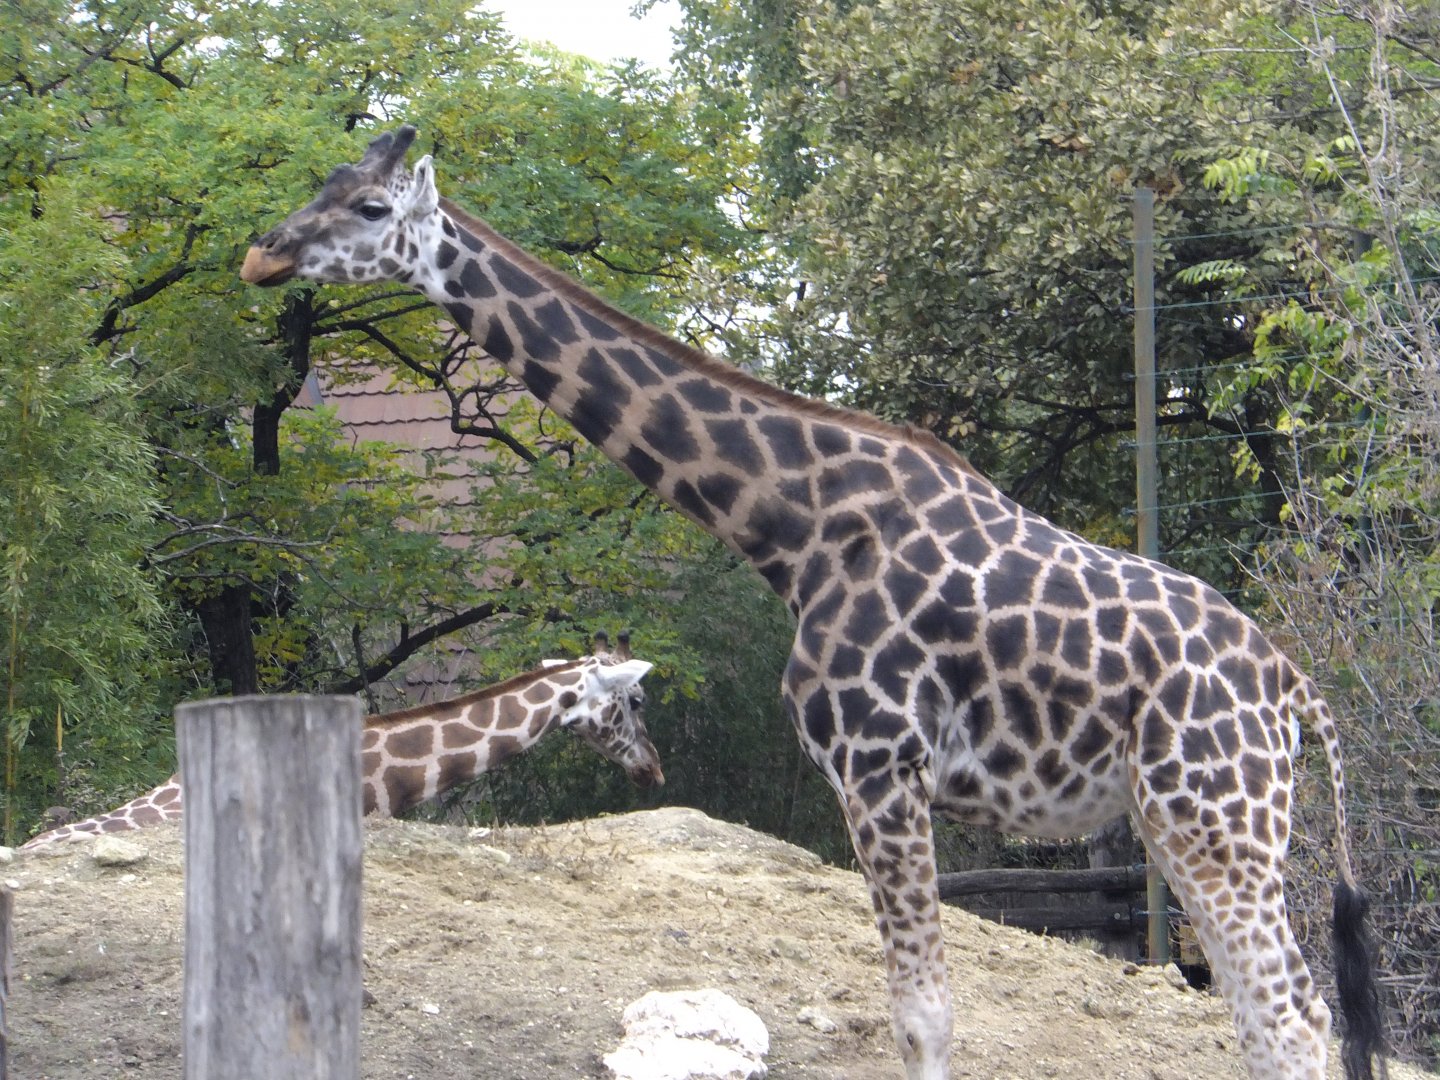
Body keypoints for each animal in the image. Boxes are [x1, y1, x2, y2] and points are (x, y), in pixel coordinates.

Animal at [238, 126, 1386, 1080]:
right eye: (318, 186)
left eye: (371, 209)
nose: (262, 254)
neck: (792, 528)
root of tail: (1294, 689)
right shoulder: (881, 778)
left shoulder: (880, 766)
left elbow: (924, 1015)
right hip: (1185, 818)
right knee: (1263, 1018)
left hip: (1219, 815)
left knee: (1294, 1020)